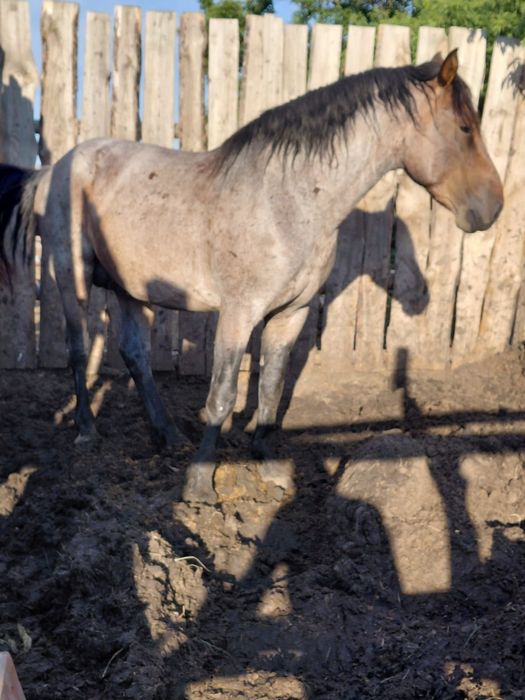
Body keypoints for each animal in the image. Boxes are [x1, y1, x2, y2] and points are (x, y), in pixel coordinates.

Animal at [0, 50, 503, 503]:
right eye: (464, 128)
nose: (493, 207)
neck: (288, 200)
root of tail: (56, 168)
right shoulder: (239, 314)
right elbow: (222, 395)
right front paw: (200, 484)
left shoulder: (291, 314)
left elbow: (271, 387)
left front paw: (267, 462)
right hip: (73, 278)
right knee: (78, 349)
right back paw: (87, 432)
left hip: (131, 289)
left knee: (135, 355)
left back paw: (166, 435)